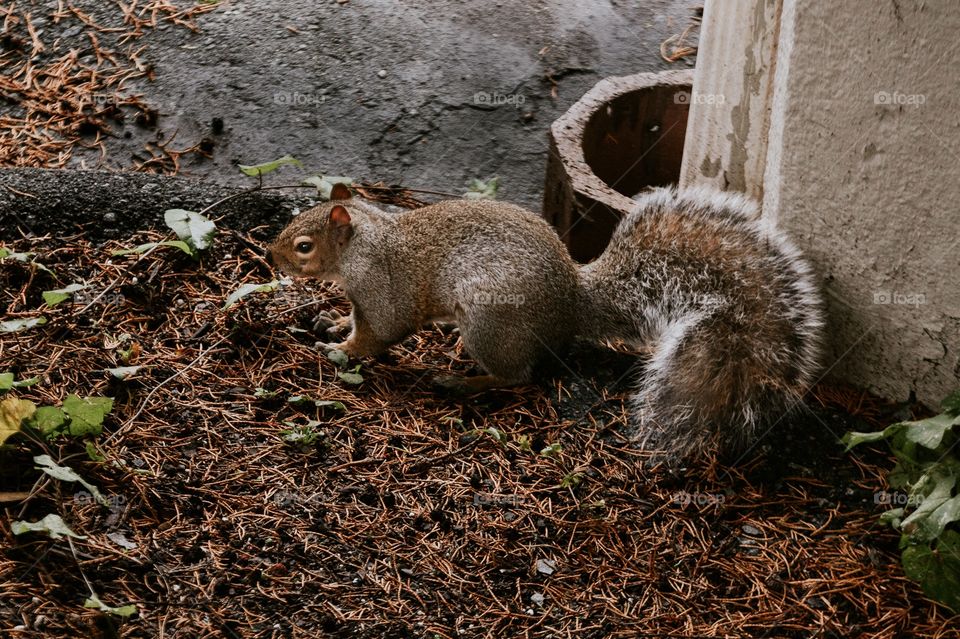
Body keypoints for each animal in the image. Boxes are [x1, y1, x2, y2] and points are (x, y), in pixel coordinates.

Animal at [268, 183, 824, 464]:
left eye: (303, 245)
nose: (271, 256)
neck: (366, 245)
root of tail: (573, 301)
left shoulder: (386, 294)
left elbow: (378, 334)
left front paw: (341, 351)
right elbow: (352, 319)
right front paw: (330, 321)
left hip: (489, 323)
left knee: (519, 375)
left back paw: (463, 381)